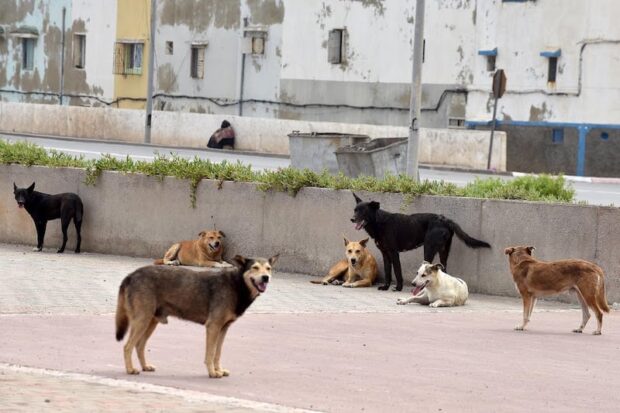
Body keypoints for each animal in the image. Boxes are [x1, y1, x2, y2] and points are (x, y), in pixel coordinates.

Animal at [115, 251, 278, 376]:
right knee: (127, 346)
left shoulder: (223, 329)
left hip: (150, 322)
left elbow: (217, 353)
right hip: (141, 320)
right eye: (255, 268)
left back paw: (145, 367)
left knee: (139, 345)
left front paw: (218, 370)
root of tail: (131, 275)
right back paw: (130, 369)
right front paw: (212, 372)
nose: (266, 278)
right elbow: (210, 353)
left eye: (268, 268)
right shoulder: (213, 327)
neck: (237, 285)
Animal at [352, 192, 492, 290]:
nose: (352, 219)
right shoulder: (385, 254)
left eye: (363, 211)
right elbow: (387, 272)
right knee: (443, 270)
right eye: (355, 210)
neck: (379, 222)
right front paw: (385, 287)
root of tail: (445, 220)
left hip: (428, 248)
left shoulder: (394, 253)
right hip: (443, 251)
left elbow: (397, 271)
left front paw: (398, 288)